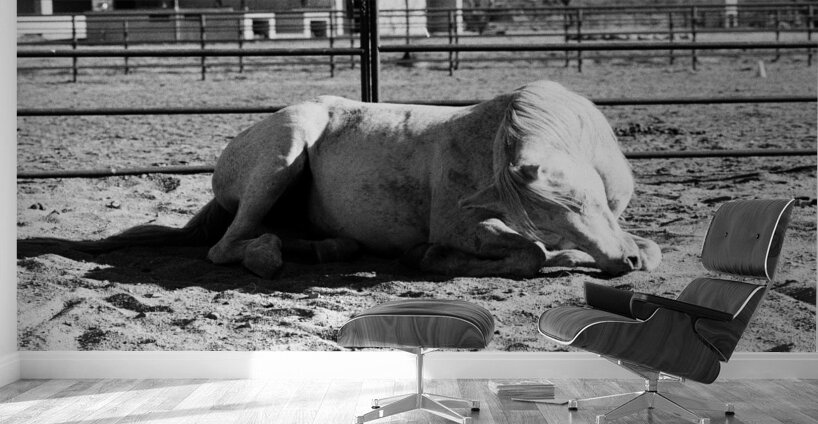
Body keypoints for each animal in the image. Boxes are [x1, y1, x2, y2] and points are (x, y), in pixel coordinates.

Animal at [69, 80, 662, 279]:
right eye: (558, 211)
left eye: (590, 202)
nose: (623, 263)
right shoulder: (461, 225)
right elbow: (530, 255)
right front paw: (426, 258)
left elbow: (648, 245)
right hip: (284, 151)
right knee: (228, 247)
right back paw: (272, 256)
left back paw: (329, 248)